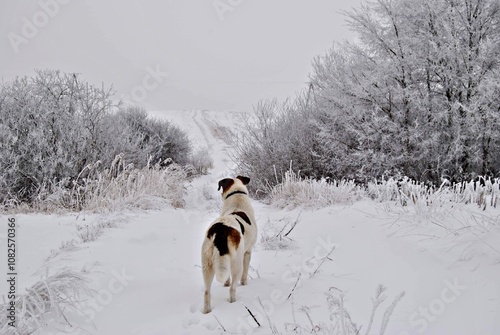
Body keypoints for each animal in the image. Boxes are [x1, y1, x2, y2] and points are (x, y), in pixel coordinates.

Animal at [201, 176, 258, 316]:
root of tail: (221, 230)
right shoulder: (247, 252)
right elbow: (245, 274)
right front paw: (245, 284)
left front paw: (225, 283)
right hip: (237, 263)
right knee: (232, 289)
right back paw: (234, 303)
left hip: (207, 265)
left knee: (206, 292)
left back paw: (207, 311)